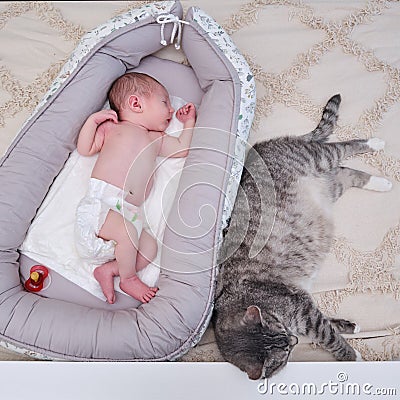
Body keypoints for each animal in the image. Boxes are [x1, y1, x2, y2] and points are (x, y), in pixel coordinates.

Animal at [214, 95, 392, 380]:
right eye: (283, 352)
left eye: (279, 330)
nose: (294, 341)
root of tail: (263, 146)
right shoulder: (307, 309)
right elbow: (331, 325)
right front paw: (348, 325)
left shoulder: (304, 311)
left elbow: (330, 338)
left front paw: (353, 357)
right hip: (330, 185)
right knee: (347, 172)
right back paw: (380, 182)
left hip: (319, 157)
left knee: (342, 148)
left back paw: (373, 144)